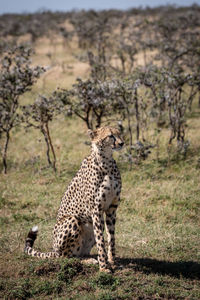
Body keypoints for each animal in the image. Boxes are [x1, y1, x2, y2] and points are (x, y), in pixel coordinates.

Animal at [24, 126, 123, 272]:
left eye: (120, 133)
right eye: (110, 136)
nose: (122, 143)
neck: (106, 162)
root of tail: (54, 250)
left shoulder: (112, 208)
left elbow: (111, 238)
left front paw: (112, 262)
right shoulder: (96, 209)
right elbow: (101, 240)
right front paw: (104, 267)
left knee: (78, 253)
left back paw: (89, 259)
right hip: (72, 220)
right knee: (65, 257)